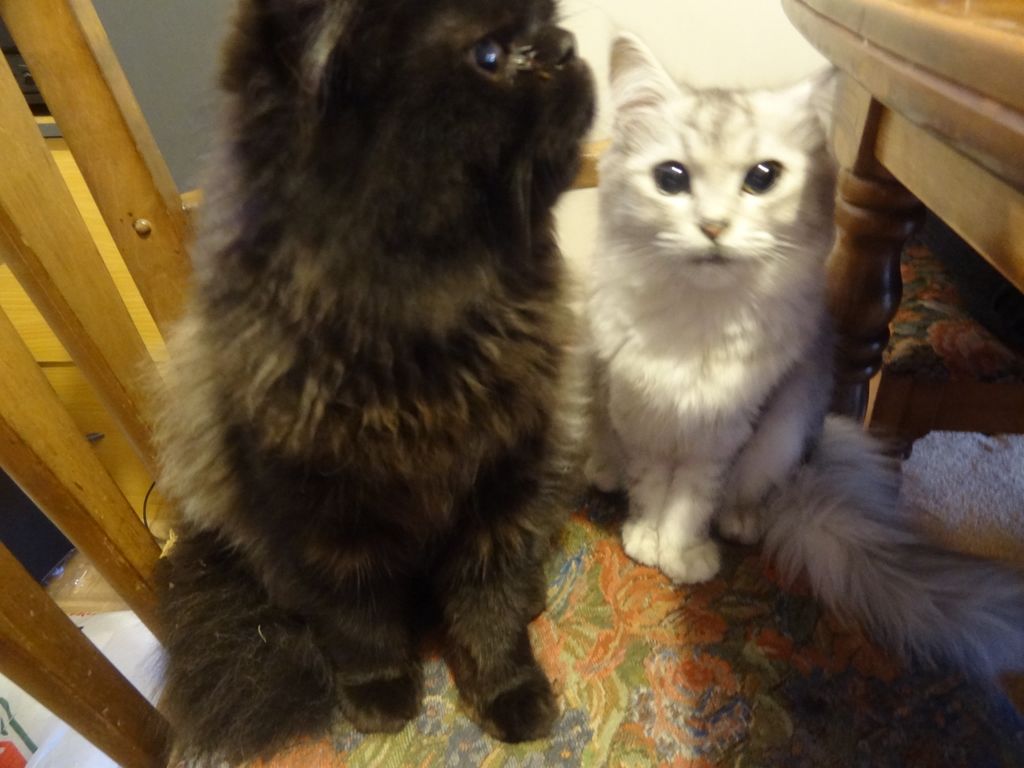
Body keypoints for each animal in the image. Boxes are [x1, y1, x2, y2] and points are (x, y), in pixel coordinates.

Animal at [154, 0, 594, 763]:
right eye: (488, 56)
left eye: (550, 22)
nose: (567, 46)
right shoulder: (323, 521)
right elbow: (359, 622)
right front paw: (381, 697)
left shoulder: (504, 484)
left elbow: (490, 610)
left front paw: (509, 693)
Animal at [586, 32, 1024, 682]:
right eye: (671, 178)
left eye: (762, 177)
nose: (713, 226)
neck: (698, 319)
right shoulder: (641, 414)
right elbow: (650, 482)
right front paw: (646, 535)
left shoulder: (725, 429)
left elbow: (691, 499)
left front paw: (680, 551)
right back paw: (603, 470)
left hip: (784, 431)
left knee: (752, 493)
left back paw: (742, 521)